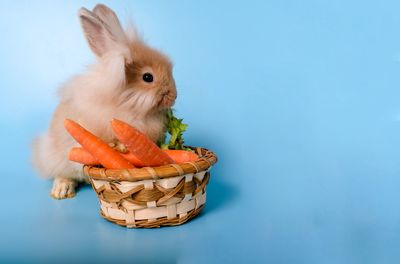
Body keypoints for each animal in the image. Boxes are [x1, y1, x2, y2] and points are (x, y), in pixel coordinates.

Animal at [31, 4, 175, 199]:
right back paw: (61, 190)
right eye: (147, 77)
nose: (173, 96)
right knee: (62, 174)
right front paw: (119, 147)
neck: (125, 105)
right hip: (56, 157)